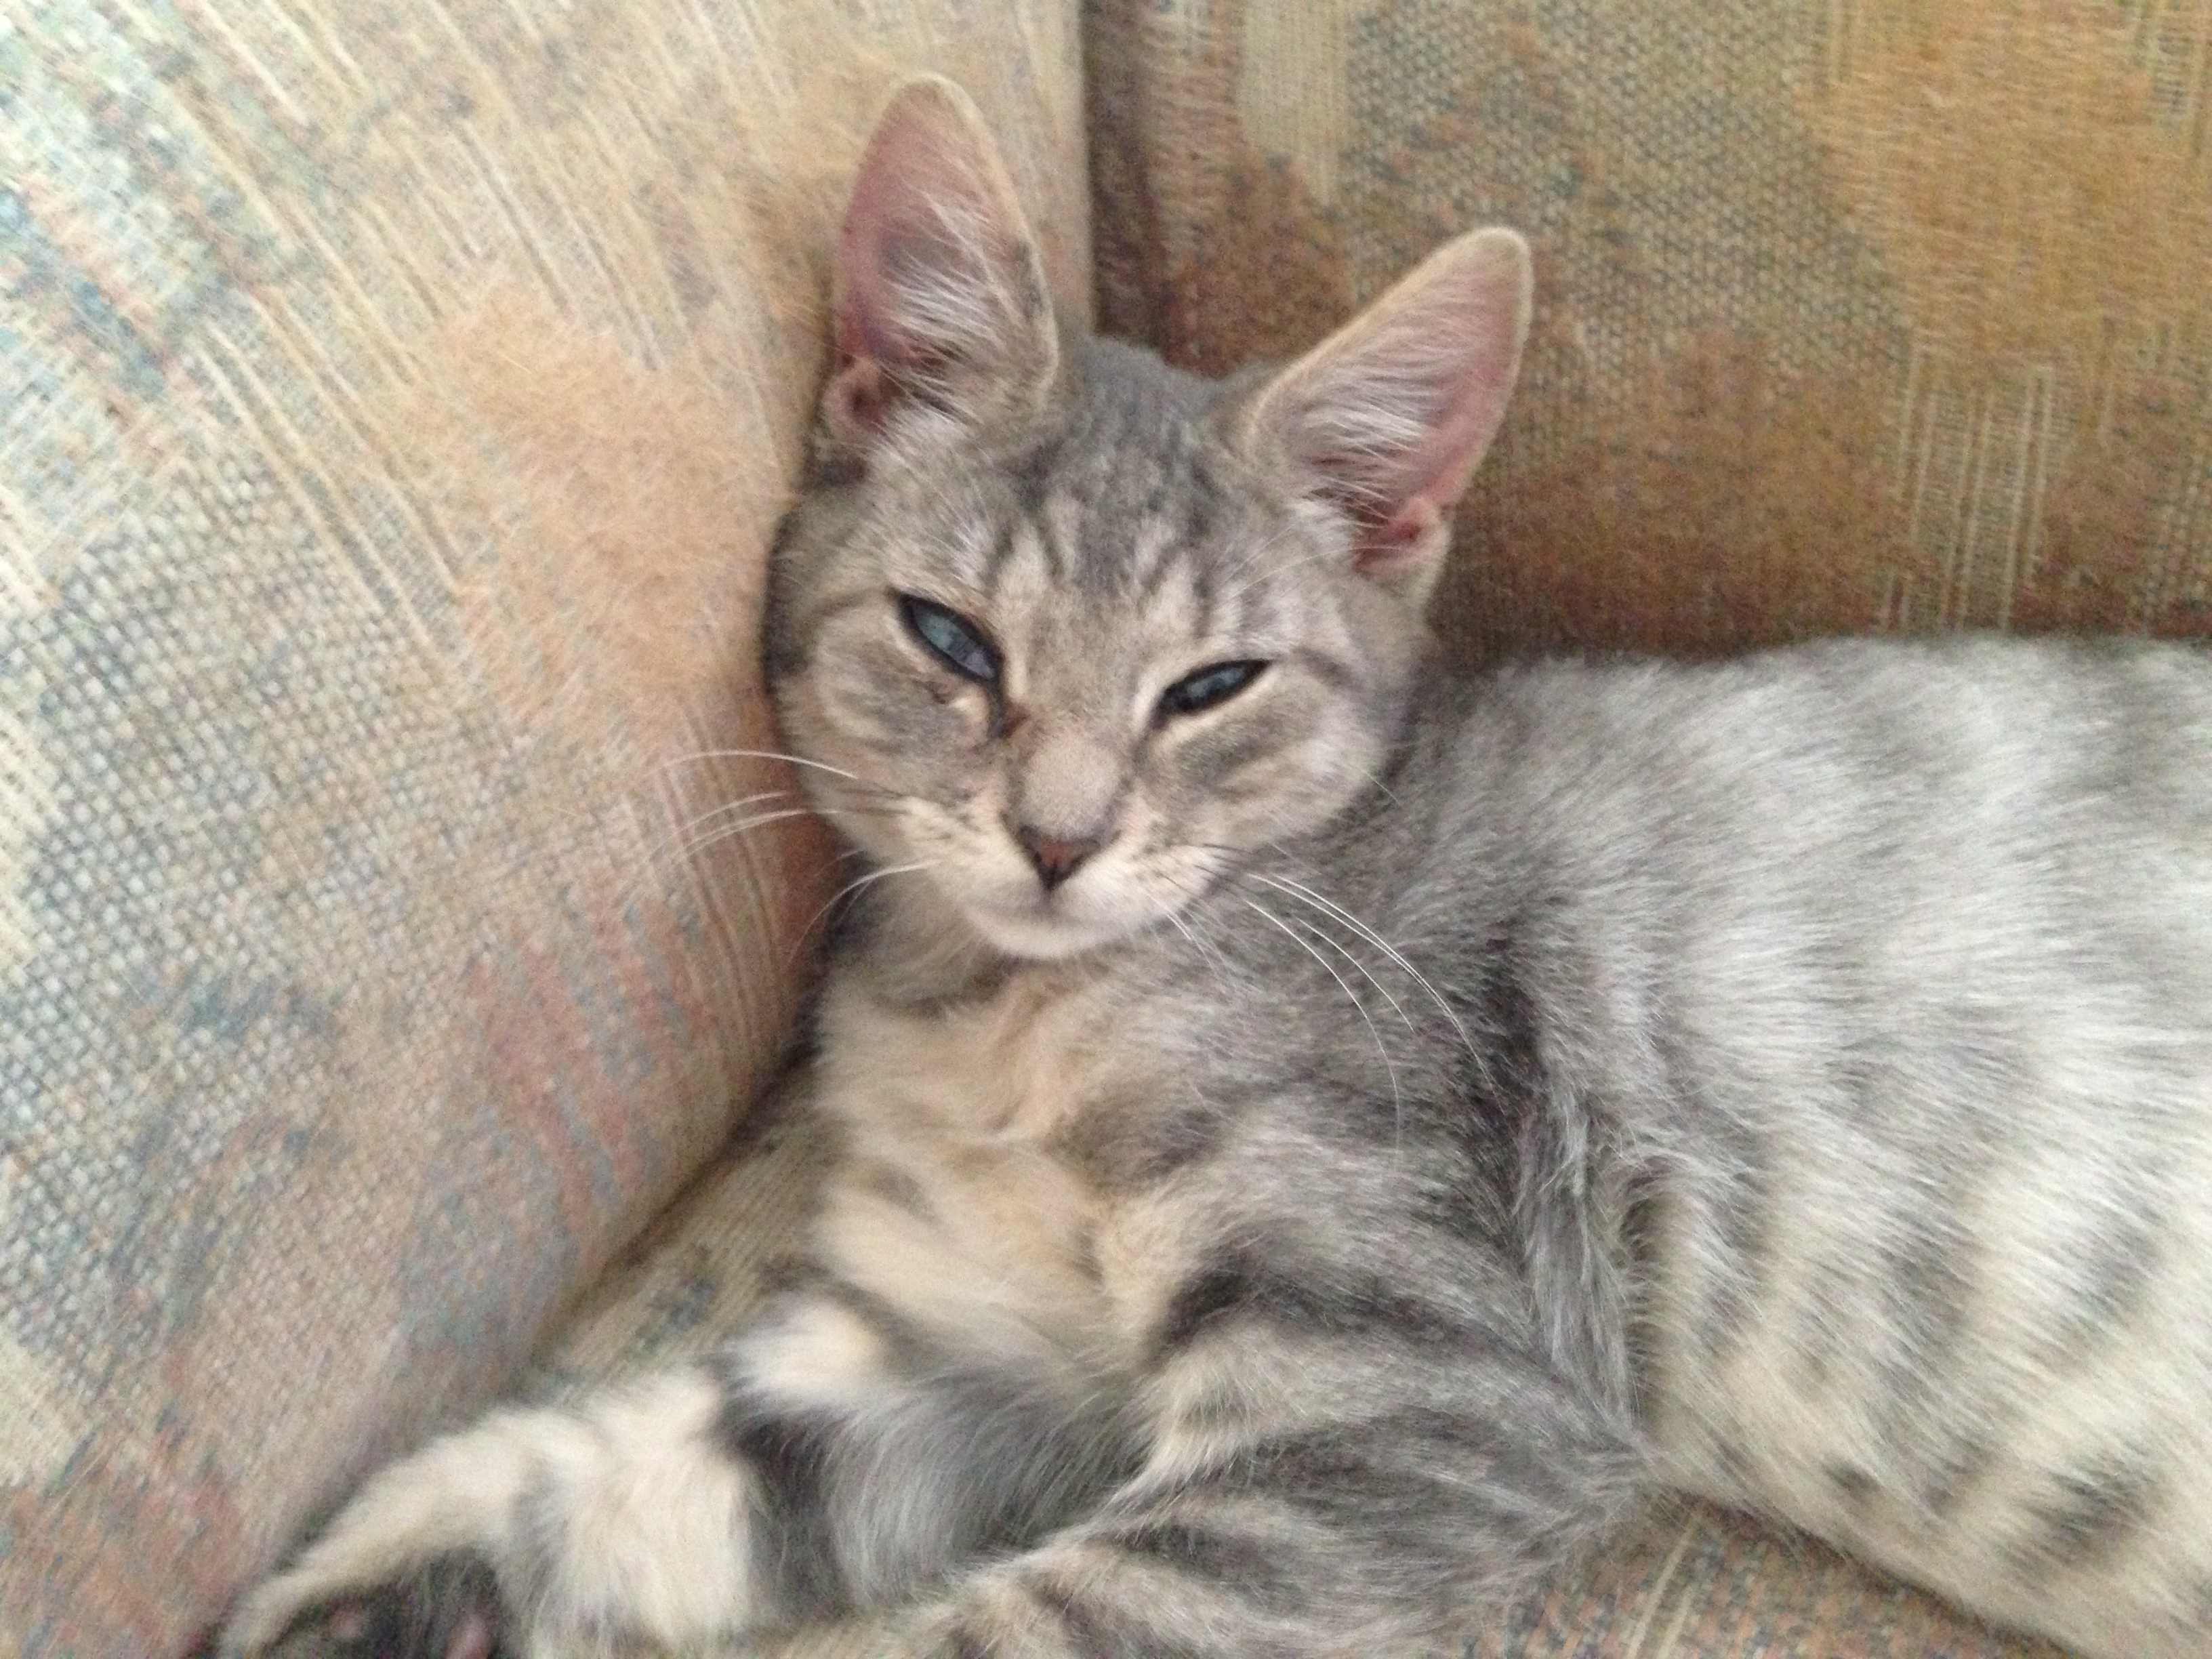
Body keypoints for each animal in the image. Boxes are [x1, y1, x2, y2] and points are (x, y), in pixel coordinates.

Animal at [228, 75, 2212, 1659]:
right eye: (947, 641)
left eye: (1210, 686)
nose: (1055, 836)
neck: (998, 1019)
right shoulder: (963, 1349)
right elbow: (597, 1467)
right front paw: (347, 1593)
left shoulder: (1416, 1395)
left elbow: (1017, 1629)